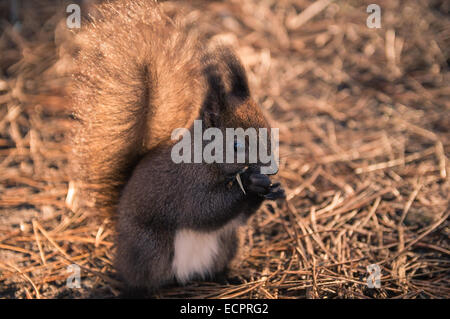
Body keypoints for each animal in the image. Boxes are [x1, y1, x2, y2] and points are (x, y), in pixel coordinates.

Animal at [68, 0, 284, 296]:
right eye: (237, 144)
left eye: (269, 129)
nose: (270, 168)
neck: (207, 161)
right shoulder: (184, 186)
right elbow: (203, 210)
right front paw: (252, 184)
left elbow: (238, 217)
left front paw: (274, 190)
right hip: (150, 249)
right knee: (140, 278)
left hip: (227, 243)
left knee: (214, 265)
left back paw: (229, 277)